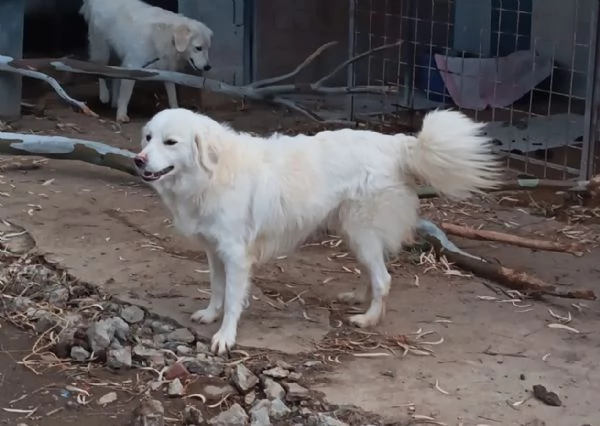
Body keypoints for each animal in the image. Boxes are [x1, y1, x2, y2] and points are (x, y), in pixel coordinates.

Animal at [78, 0, 212, 123]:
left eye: (207, 48)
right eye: (198, 48)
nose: (208, 67)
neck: (165, 36)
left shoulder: (167, 69)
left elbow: (172, 95)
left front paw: (176, 111)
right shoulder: (132, 66)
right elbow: (126, 94)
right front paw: (121, 114)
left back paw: (114, 101)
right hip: (102, 51)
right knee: (100, 70)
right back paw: (104, 95)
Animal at [136, 108, 502, 354]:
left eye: (171, 142)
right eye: (148, 138)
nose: (138, 160)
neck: (211, 172)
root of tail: (399, 144)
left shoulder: (236, 256)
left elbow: (233, 299)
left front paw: (225, 337)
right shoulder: (214, 250)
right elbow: (216, 288)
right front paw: (210, 315)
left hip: (361, 230)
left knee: (384, 279)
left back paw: (368, 318)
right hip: (354, 233)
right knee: (374, 271)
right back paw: (357, 298)